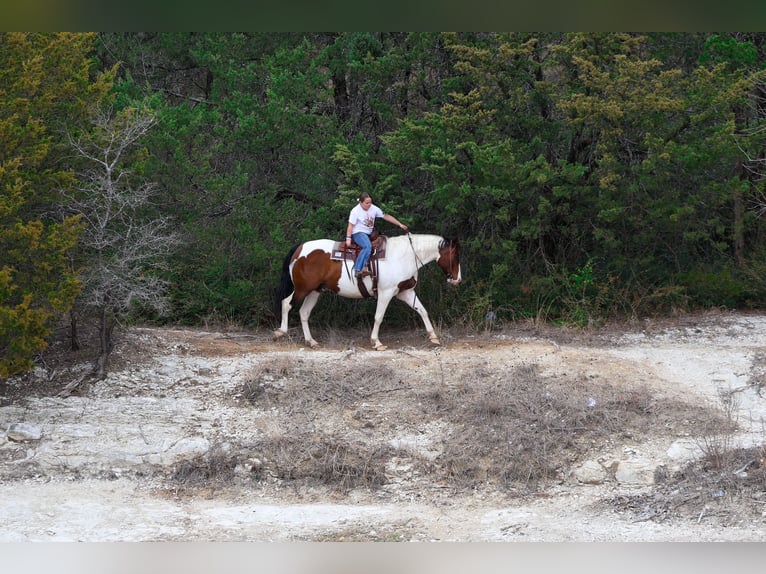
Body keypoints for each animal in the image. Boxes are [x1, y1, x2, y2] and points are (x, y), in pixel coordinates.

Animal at [273, 233, 461, 350]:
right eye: (455, 256)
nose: (457, 279)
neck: (404, 256)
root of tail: (300, 248)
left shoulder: (405, 292)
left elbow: (422, 310)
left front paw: (434, 337)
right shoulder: (386, 293)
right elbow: (378, 317)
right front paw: (376, 342)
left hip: (315, 291)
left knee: (304, 312)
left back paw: (311, 341)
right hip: (303, 288)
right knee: (286, 303)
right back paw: (280, 332)